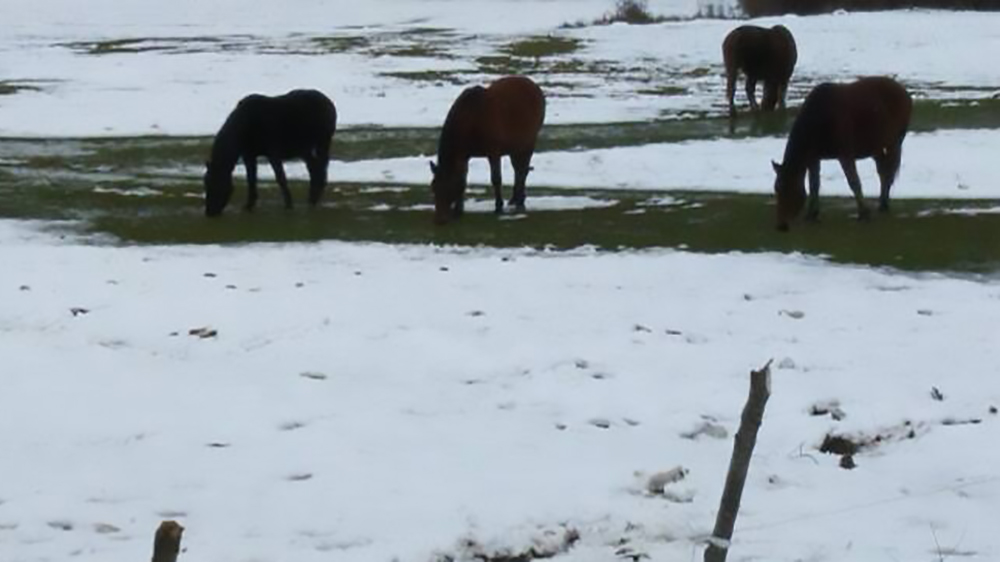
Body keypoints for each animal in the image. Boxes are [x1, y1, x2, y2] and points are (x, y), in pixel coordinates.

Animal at [204, 89, 337, 217]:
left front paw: (289, 205)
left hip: (323, 141)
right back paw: (312, 198)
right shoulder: (249, 155)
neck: (243, 130)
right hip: (305, 149)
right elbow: (251, 179)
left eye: (217, 184)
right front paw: (249, 205)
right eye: (206, 183)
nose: (210, 212)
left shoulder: (272, 152)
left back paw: (313, 199)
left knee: (320, 169)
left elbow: (280, 178)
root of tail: (330, 104)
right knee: (314, 169)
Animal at [429, 75, 546, 225]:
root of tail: (536, 87)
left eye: (448, 187)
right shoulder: (464, 156)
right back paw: (515, 199)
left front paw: (498, 207)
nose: (439, 219)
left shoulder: (493, 152)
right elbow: (463, 178)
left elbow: (496, 179)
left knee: (522, 171)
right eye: (433, 187)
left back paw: (519, 200)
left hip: (528, 143)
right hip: (515, 147)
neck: (471, 121)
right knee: (519, 170)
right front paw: (458, 210)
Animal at [772, 76, 912, 231]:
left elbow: (854, 182)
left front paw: (864, 213)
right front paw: (812, 215)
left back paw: (883, 205)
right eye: (776, 188)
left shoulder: (845, 155)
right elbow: (814, 185)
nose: (781, 225)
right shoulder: (814, 158)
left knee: (888, 172)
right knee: (883, 172)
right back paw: (882, 203)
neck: (818, 121)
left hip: (894, 143)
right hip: (877, 148)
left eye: (788, 188)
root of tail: (905, 93)